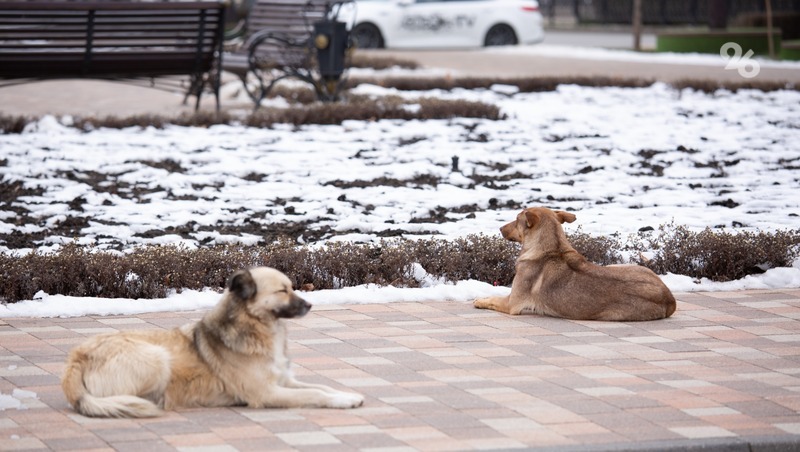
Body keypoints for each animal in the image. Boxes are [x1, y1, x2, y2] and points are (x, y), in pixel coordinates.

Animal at [62, 266, 362, 418]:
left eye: (291, 287)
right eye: (282, 290)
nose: (310, 305)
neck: (257, 329)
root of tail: (76, 359)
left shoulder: (284, 381)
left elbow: (322, 387)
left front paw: (346, 395)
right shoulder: (266, 393)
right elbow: (315, 394)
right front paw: (342, 402)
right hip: (156, 357)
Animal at [476, 208, 676, 322]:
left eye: (517, 220)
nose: (500, 228)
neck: (552, 248)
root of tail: (669, 299)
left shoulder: (511, 304)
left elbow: (493, 298)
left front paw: (479, 300)